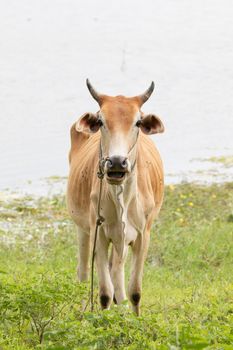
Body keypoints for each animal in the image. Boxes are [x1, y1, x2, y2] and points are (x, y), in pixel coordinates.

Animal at [66, 80, 165, 314]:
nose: (117, 163)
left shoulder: (142, 235)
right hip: (83, 229)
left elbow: (135, 291)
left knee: (117, 272)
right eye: (101, 120)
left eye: (137, 122)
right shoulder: (99, 234)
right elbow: (104, 294)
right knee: (84, 272)